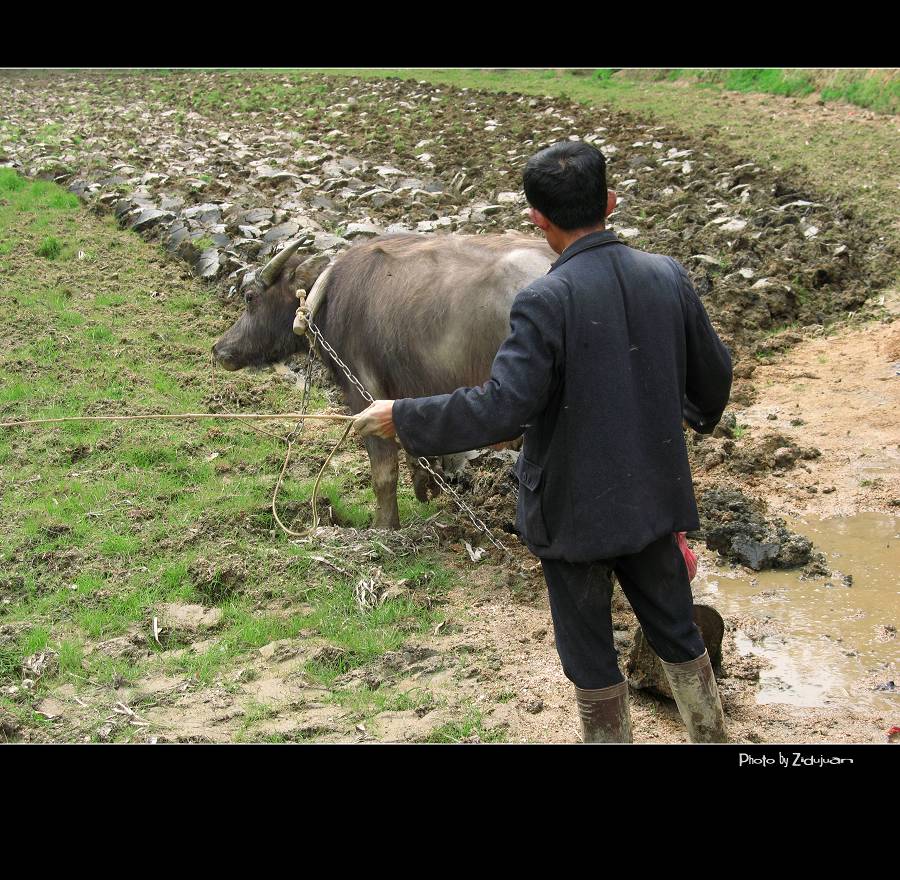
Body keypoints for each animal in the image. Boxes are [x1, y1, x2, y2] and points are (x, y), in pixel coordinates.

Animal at [214, 230, 552, 524]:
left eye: (250, 297)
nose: (220, 349)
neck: (326, 298)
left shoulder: (366, 393)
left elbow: (383, 472)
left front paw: (384, 526)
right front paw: (425, 485)